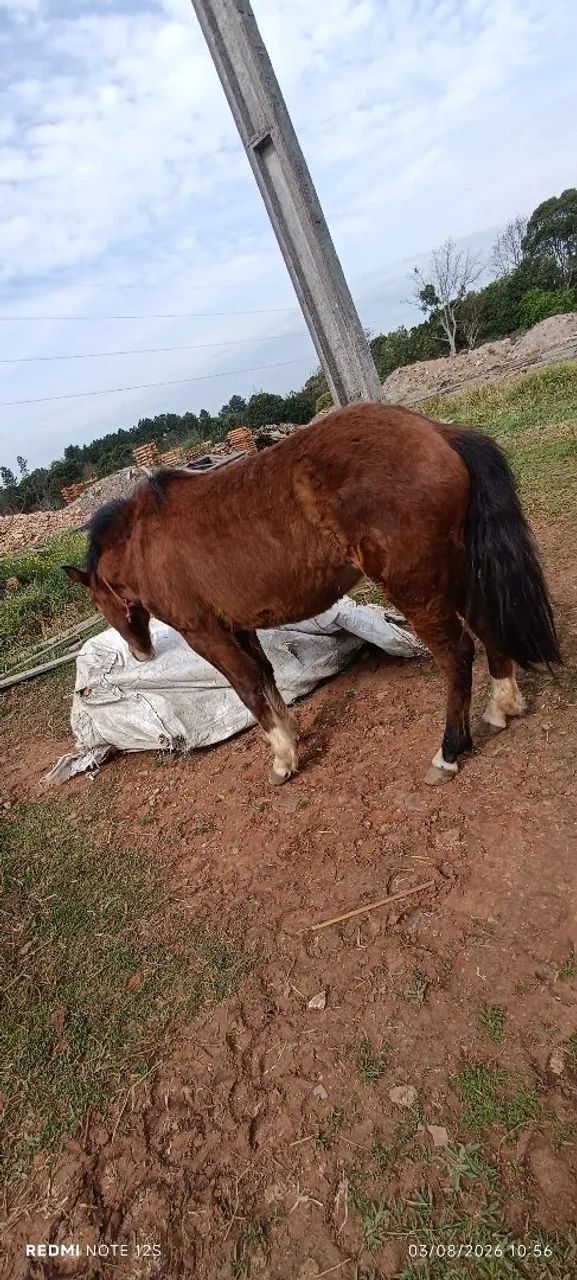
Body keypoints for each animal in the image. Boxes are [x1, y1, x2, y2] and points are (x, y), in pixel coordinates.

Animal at [63, 402, 560, 787]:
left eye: (98, 602)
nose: (141, 653)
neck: (145, 541)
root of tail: (436, 432)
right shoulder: (240, 628)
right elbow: (267, 680)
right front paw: (292, 739)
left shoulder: (207, 635)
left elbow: (248, 689)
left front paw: (283, 760)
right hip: (454, 571)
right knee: (486, 625)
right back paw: (502, 707)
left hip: (417, 588)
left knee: (457, 655)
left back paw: (449, 753)